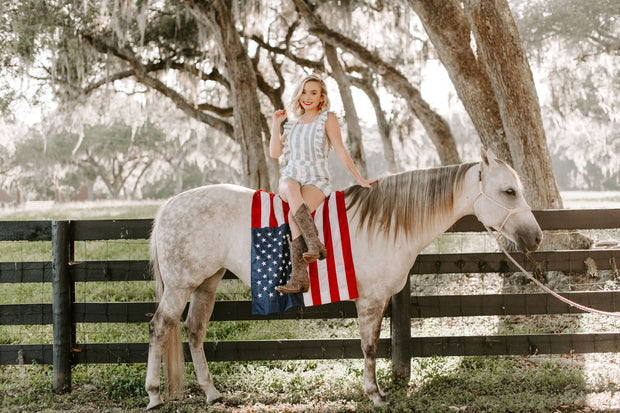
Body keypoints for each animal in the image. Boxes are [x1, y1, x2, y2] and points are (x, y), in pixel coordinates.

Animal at [145, 146, 544, 408]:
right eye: (508, 191)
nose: (536, 237)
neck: (386, 223)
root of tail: (169, 204)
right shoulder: (371, 300)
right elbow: (369, 347)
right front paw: (375, 395)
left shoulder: (379, 300)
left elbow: (373, 344)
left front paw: (376, 391)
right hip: (180, 286)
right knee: (160, 327)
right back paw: (153, 395)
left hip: (206, 283)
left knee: (194, 330)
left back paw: (211, 393)